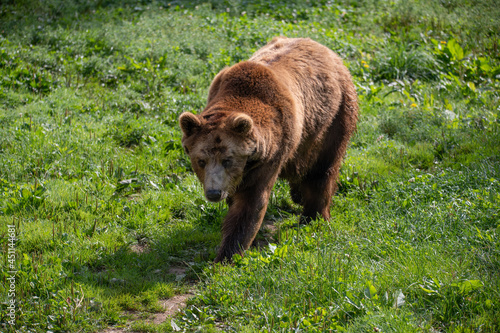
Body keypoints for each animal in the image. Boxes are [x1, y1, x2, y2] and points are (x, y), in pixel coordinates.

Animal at [178, 37, 358, 262]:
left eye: (228, 159)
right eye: (201, 161)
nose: (213, 193)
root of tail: (327, 50)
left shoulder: (271, 152)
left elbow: (250, 203)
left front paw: (227, 255)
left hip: (334, 118)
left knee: (322, 170)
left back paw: (313, 217)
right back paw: (298, 195)